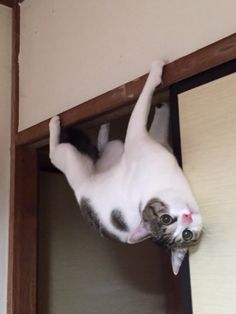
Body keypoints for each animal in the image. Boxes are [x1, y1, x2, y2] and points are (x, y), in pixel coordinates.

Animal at [48, 59, 202, 274]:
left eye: (186, 234)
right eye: (166, 220)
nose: (187, 217)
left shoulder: (155, 143)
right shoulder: (140, 136)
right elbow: (145, 103)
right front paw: (157, 78)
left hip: (112, 152)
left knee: (103, 149)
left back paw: (103, 129)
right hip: (70, 155)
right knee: (54, 153)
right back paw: (54, 124)